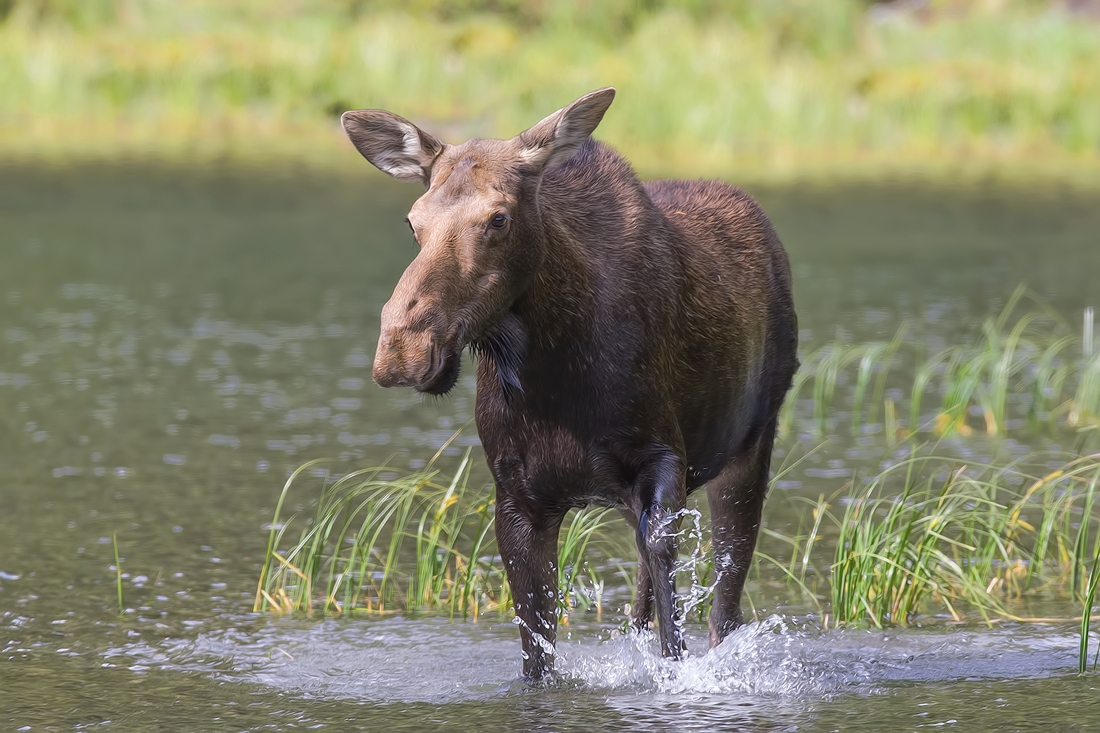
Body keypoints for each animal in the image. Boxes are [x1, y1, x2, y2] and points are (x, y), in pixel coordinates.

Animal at [338, 86, 796, 677]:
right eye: (412, 221)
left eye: (499, 218)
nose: (403, 349)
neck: (555, 375)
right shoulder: (518, 497)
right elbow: (539, 659)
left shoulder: (663, 463)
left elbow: (674, 641)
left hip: (748, 448)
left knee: (723, 611)